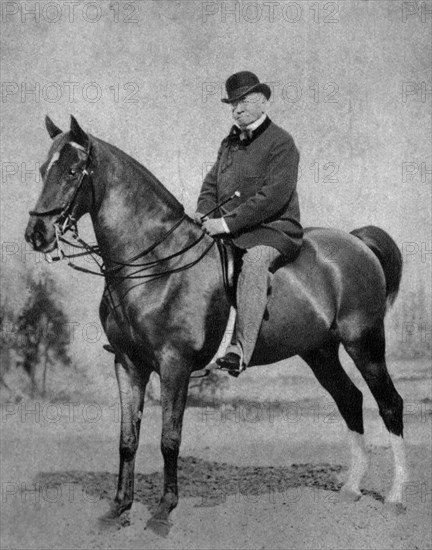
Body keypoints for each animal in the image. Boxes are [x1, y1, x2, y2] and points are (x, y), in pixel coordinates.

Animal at [26, 117, 404, 536]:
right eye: (43, 170)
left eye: (72, 171)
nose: (37, 234)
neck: (155, 263)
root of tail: (357, 242)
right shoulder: (127, 363)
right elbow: (128, 439)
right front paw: (118, 509)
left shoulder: (174, 365)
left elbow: (169, 439)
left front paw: (163, 512)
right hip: (319, 351)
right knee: (349, 400)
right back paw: (351, 489)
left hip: (365, 343)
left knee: (390, 404)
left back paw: (395, 496)